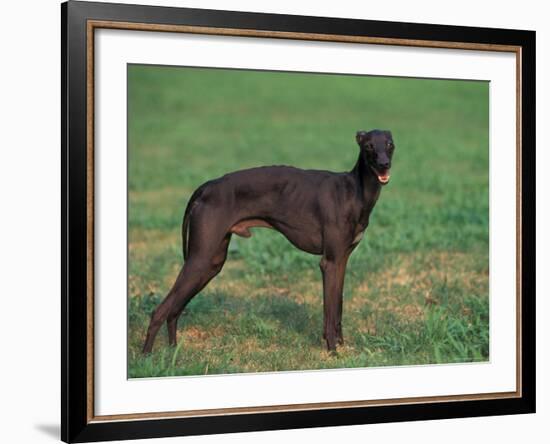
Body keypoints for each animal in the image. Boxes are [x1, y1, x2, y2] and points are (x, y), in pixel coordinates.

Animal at [143, 129, 396, 354]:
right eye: (369, 146)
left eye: (390, 144)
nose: (384, 164)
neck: (355, 192)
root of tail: (207, 186)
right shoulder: (329, 263)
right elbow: (329, 311)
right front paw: (332, 350)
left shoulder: (341, 261)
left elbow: (339, 307)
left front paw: (342, 345)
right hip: (199, 259)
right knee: (159, 311)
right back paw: (147, 357)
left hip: (211, 262)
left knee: (174, 310)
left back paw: (173, 351)